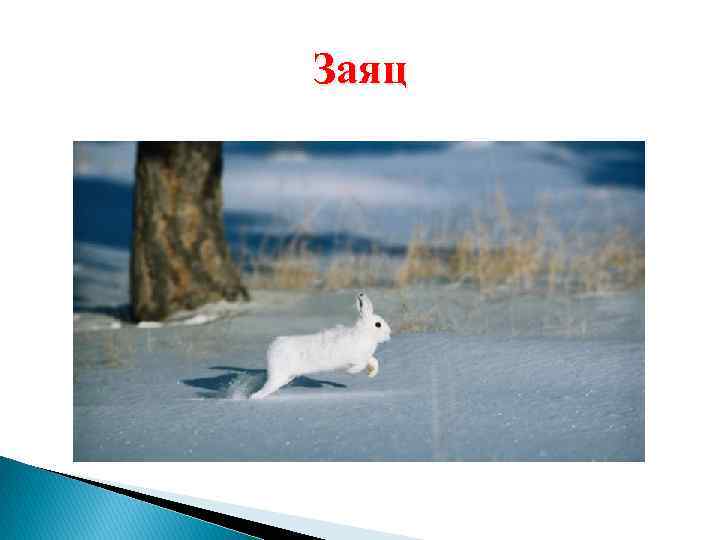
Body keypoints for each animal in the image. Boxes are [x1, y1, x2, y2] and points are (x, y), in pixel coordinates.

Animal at [249, 292, 391, 399]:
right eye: (378, 324)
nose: (389, 334)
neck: (364, 333)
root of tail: (272, 347)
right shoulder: (355, 358)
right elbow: (359, 366)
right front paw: (351, 372)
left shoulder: (366, 357)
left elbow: (375, 361)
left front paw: (371, 374)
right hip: (279, 375)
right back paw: (254, 398)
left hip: (286, 377)